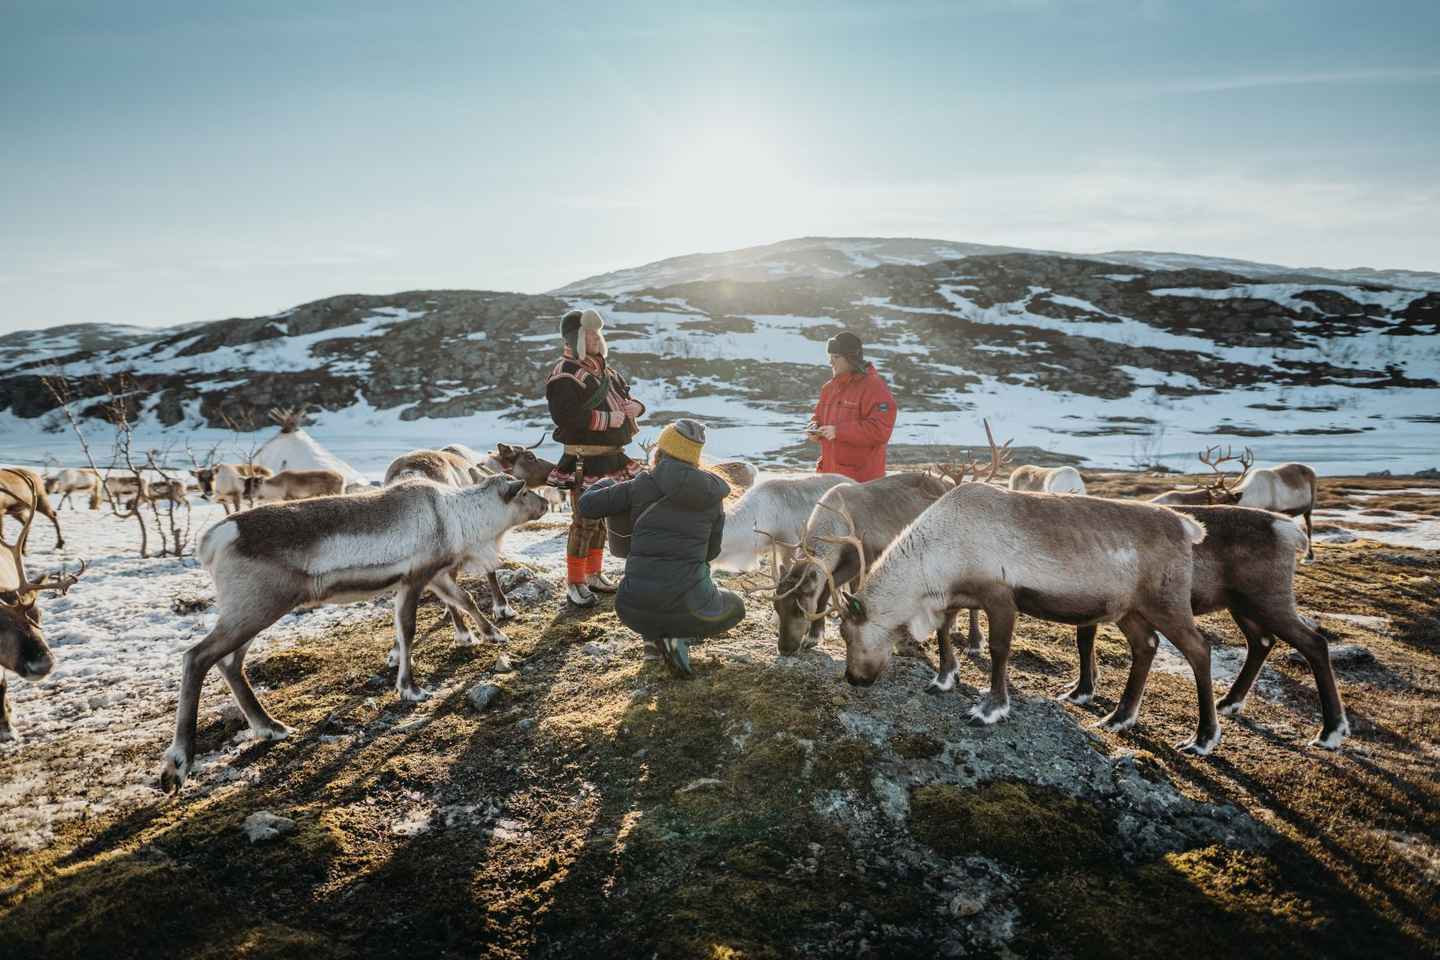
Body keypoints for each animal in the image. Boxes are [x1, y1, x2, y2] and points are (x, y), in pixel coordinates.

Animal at [159, 475, 548, 793]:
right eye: (525, 491)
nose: (545, 502)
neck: (458, 517)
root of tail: (213, 539)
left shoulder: (436, 575)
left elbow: (465, 599)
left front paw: (493, 635)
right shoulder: (414, 577)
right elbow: (408, 630)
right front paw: (410, 688)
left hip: (250, 610)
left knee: (229, 663)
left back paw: (270, 727)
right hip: (256, 607)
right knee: (197, 656)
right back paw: (179, 763)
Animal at [746, 472, 987, 657]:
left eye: (799, 609)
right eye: (777, 607)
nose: (785, 649)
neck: (836, 523)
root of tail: (950, 484)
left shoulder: (862, 558)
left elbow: (825, 590)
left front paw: (814, 636)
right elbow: (849, 592)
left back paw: (974, 643)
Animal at [831, 422, 1223, 756]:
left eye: (848, 632)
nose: (852, 678)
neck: (936, 556)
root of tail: (1186, 526)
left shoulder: (1000, 597)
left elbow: (998, 649)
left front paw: (990, 708)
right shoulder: (954, 596)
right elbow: (944, 634)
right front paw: (943, 679)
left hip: (1166, 602)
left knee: (1199, 649)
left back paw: (1202, 737)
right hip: (1128, 609)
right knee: (1146, 646)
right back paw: (1119, 717)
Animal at [1057, 504, 1348, 749]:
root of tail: (1286, 528)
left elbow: (1084, 640)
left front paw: (1081, 691)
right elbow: (1085, 639)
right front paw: (1083, 686)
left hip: (1268, 600)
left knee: (1314, 643)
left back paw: (1330, 732)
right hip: (1241, 605)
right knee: (1262, 641)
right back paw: (1229, 702)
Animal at [1151, 447, 1318, 563]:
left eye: (1225, 503)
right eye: (1211, 503)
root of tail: (1310, 468)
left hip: (1310, 505)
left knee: (1309, 526)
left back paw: (1309, 555)